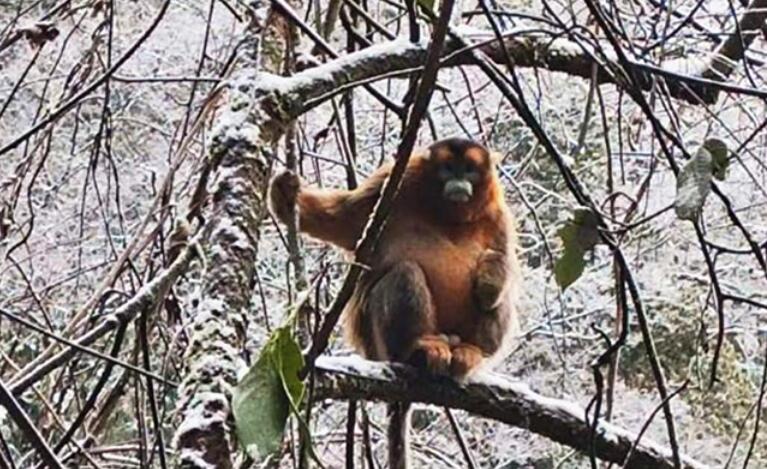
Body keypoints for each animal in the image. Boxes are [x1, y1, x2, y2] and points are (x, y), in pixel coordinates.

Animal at [270, 136, 520, 468]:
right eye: (448, 168)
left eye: (469, 169)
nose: (458, 181)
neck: (447, 215)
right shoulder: (394, 180)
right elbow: (340, 221)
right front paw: (285, 196)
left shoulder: (497, 213)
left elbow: (503, 262)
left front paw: (490, 279)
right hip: (379, 346)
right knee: (405, 272)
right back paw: (419, 348)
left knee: (495, 302)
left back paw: (471, 350)